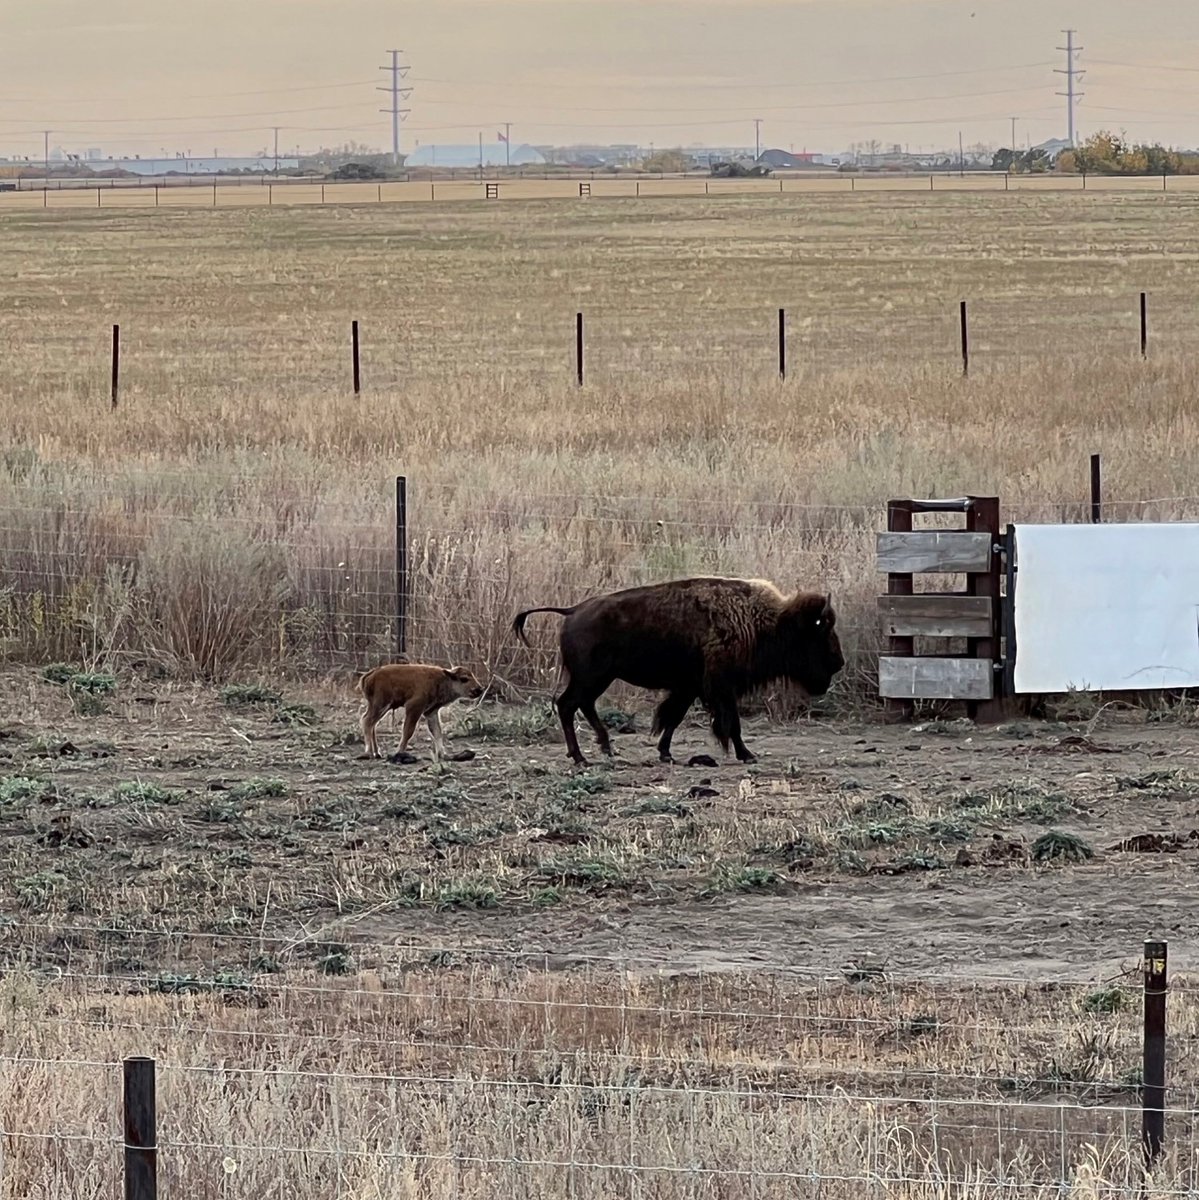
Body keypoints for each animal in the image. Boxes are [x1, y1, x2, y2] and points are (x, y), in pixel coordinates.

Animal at [512, 576, 843, 766]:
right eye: (820, 632)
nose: (838, 662)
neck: (767, 621)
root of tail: (572, 611)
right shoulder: (720, 687)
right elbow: (730, 723)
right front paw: (747, 755)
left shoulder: (690, 687)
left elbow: (673, 717)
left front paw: (665, 752)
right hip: (592, 678)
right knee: (568, 705)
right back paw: (582, 758)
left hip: (598, 679)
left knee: (582, 705)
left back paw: (604, 748)